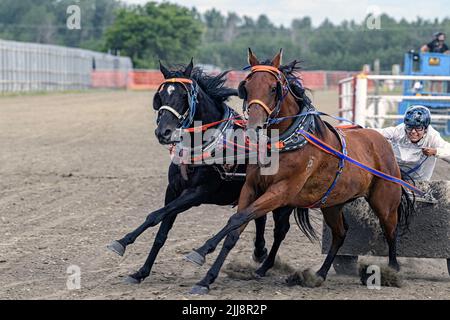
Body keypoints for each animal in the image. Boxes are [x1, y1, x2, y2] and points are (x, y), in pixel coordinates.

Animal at [106, 60, 296, 284]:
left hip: (283, 198)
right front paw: (140, 272)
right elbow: (161, 231)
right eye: (160, 95)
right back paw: (259, 252)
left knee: (280, 230)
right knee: (259, 219)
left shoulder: (196, 193)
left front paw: (122, 242)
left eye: (183, 96)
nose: (163, 132)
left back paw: (264, 265)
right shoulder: (173, 191)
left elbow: (155, 215)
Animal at [186, 50, 414, 296]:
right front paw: (206, 278)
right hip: (332, 205)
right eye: (246, 86)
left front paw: (201, 251)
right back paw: (320, 274)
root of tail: (383, 141)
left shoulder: (281, 192)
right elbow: (234, 228)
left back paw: (393, 271)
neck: (284, 144)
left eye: (273, 88)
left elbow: (238, 218)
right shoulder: (251, 188)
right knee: (340, 233)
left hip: (384, 202)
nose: (254, 127)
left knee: (390, 231)